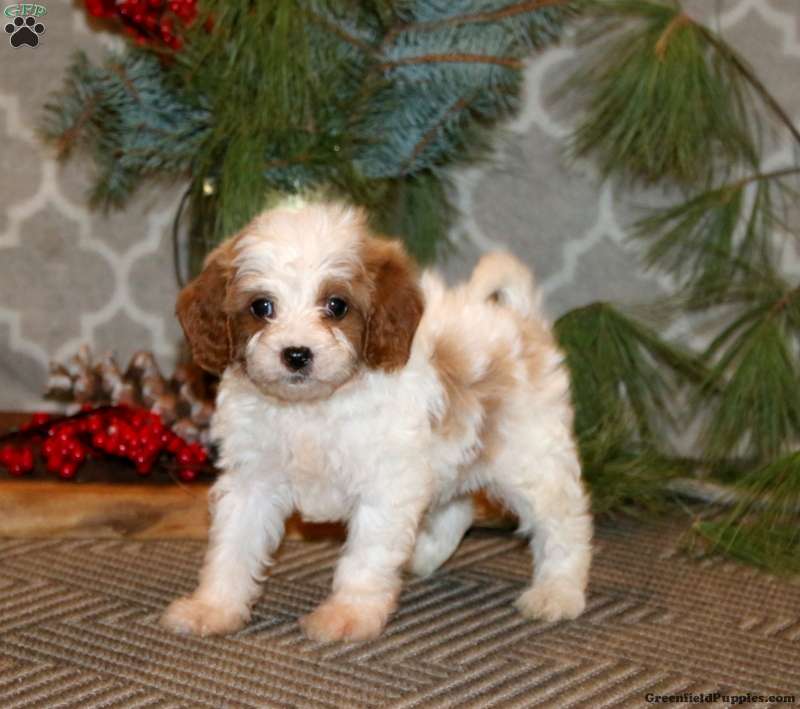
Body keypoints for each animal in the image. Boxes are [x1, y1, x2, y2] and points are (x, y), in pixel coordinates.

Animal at [161, 198, 592, 642]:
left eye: (336, 305)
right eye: (262, 307)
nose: (296, 354)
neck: (311, 408)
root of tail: (519, 319)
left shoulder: (385, 484)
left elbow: (365, 556)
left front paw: (348, 614)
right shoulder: (252, 482)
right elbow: (232, 547)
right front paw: (213, 607)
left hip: (529, 457)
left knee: (564, 522)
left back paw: (558, 593)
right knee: (457, 506)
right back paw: (423, 557)